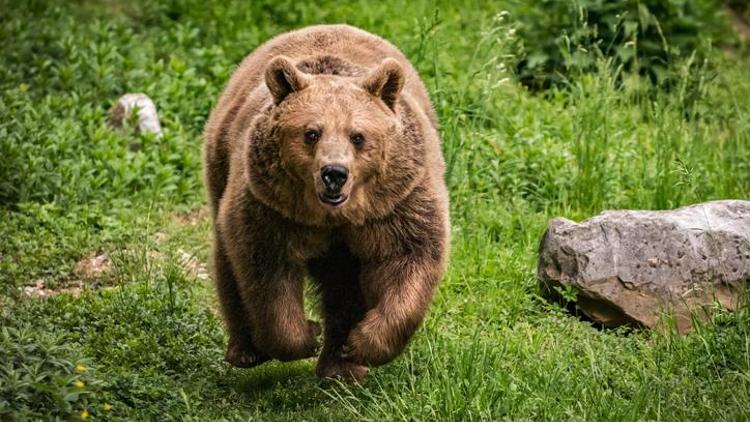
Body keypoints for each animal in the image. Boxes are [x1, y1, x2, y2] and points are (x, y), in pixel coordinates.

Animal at [203, 23, 450, 382]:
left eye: (358, 136)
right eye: (311, 133)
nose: (334, 174)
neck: (333, 216)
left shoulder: (396, 204)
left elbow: (409, 257)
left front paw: (361, 344)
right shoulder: (272, 208)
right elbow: (267, 271)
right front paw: (306, 333)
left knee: (344, 287)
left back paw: (341, 367)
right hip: (222, 165)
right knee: (228, 262)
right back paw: (247, 351)